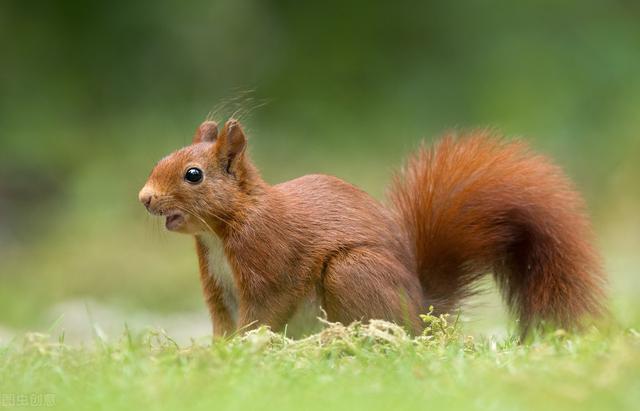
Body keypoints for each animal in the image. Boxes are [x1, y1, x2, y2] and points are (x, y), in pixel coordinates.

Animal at [139, 118, 604, 338]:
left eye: (193, 175)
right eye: (163, 158)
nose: (144, 198)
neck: (224, 229)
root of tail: (422, 307)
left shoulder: (269, 264)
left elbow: (261, 314)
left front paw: (245, 352)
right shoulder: (218, 285)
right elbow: (223, 322)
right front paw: (219, 354)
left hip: (352, 270)